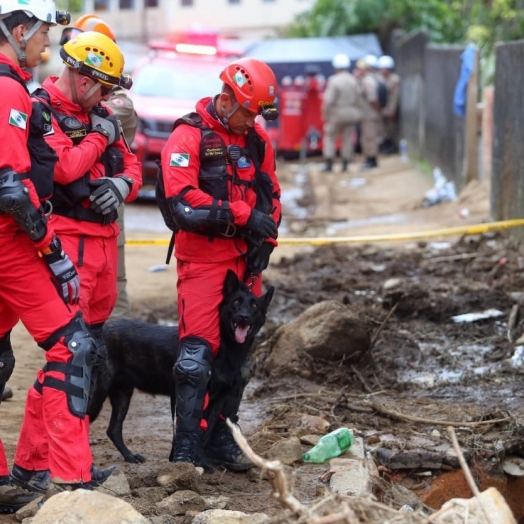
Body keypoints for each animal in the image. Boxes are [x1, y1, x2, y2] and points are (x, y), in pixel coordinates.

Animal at [88, 270, 274, 462]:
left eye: (255, 306)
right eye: (236, 302)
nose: (243, 316)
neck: (226, 347)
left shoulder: (218, 401)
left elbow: (206, 434)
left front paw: (202, 462)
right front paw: (194, 464)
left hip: (123, 393)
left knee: (113, 430)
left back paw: (130, 456)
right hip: (97, 394)